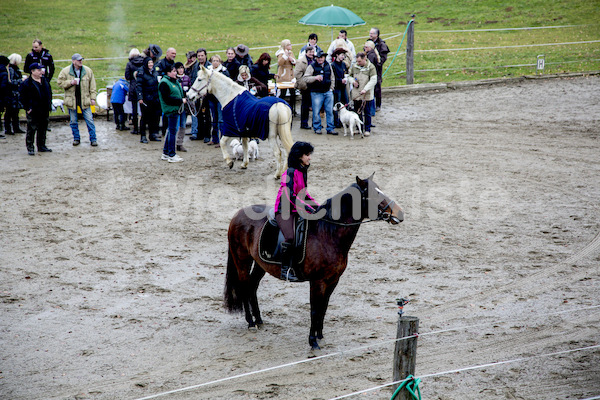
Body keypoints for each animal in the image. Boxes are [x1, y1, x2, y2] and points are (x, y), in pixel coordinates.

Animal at [224, 173, 404, 348]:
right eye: (374, 194)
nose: (400, 214)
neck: (328, 233)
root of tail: (238, 214)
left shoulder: (333, 280)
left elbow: (323, 307)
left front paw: (320, 335)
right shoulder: (318, 282)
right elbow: (315, 310)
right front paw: (313, 341)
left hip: (261, 264)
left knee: (252, 286)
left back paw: (259, 320)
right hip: (242, 261)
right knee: (244, 286)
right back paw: (251, 323)